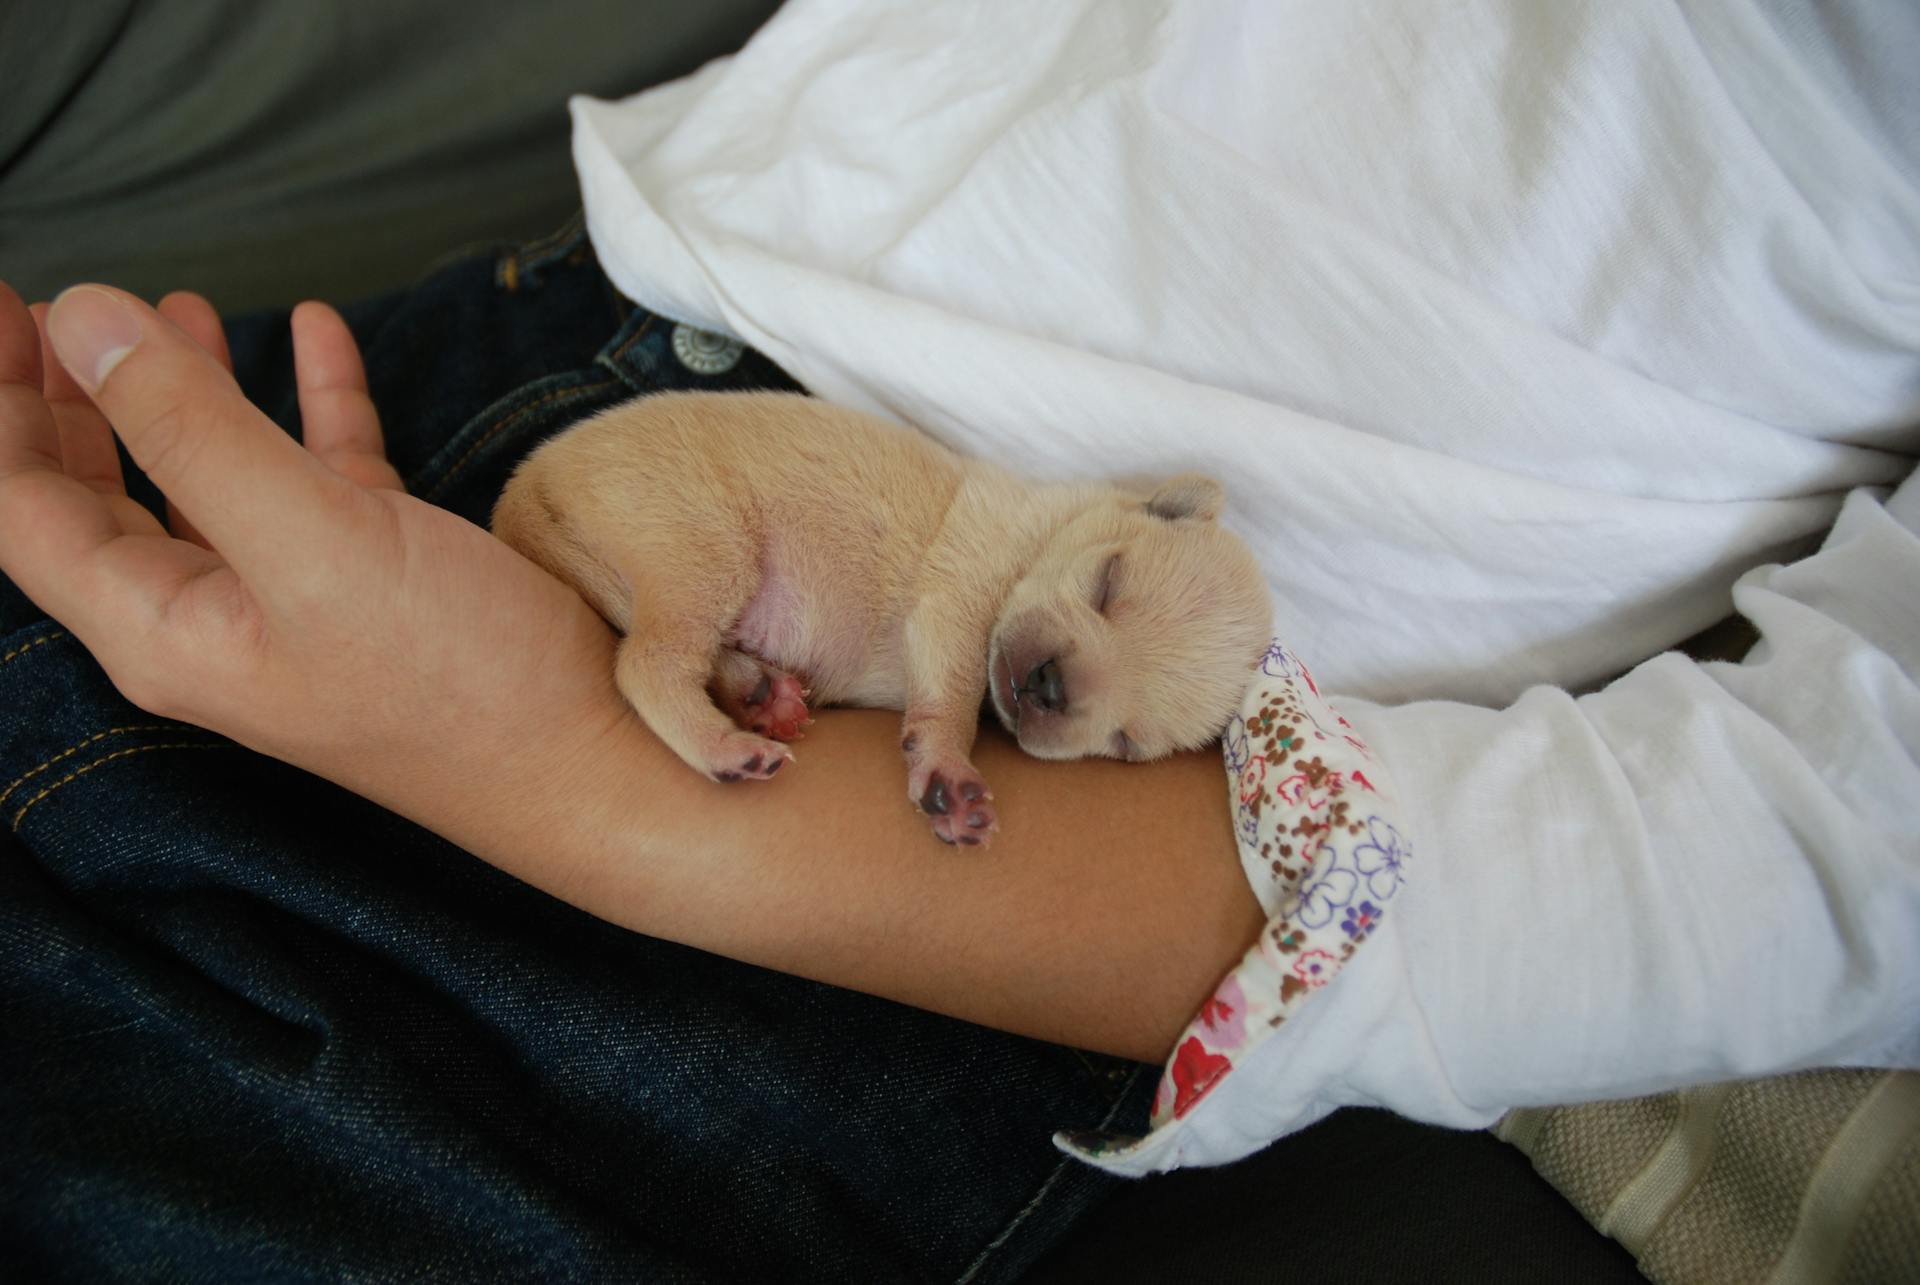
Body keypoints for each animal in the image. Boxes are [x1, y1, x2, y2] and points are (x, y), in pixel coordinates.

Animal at [491, 395, 1274, 845]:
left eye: (1126, 742)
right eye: (1108, 583)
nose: (1049, 686)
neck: (1043, 536)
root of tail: (526, 484)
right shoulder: (961, 592)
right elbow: (950, 696)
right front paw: (949, 770)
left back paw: (759, 694)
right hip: (700, 542)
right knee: (648, 663)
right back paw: (725, 747)